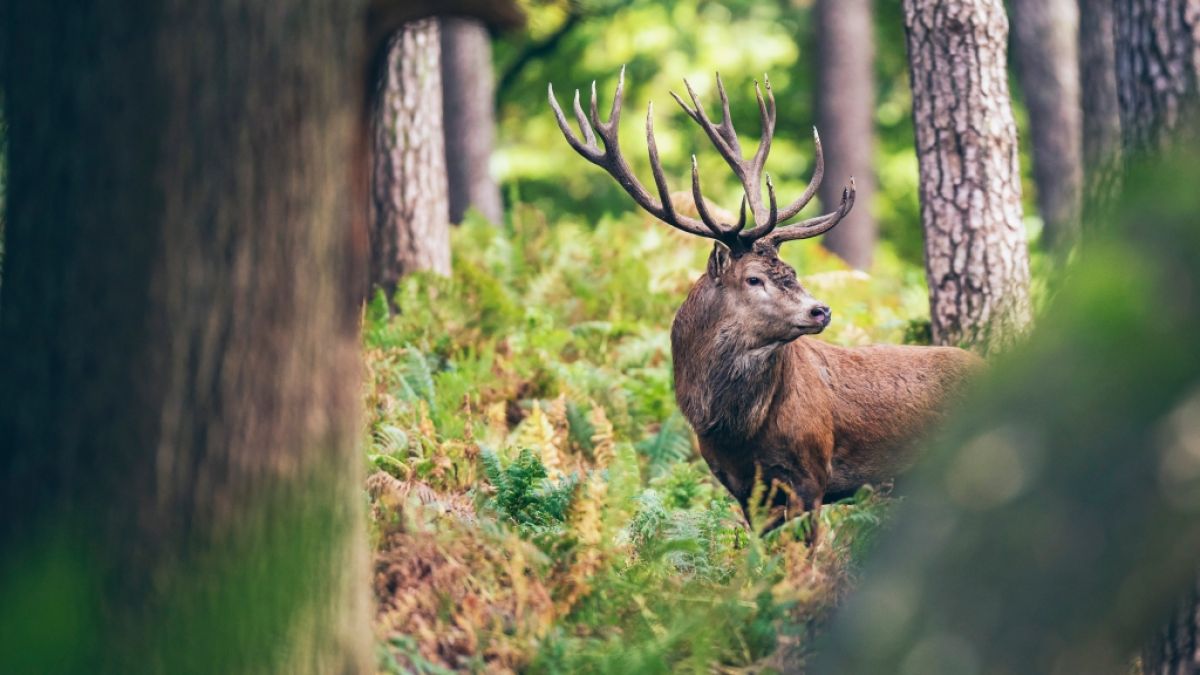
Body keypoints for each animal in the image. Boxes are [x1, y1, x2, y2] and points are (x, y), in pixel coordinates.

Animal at [549, 69, 982, 535]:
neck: (737, 432)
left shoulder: (812, 475)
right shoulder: (741, 487)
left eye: (792, 271)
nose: (821, 309)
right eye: (754, 278)